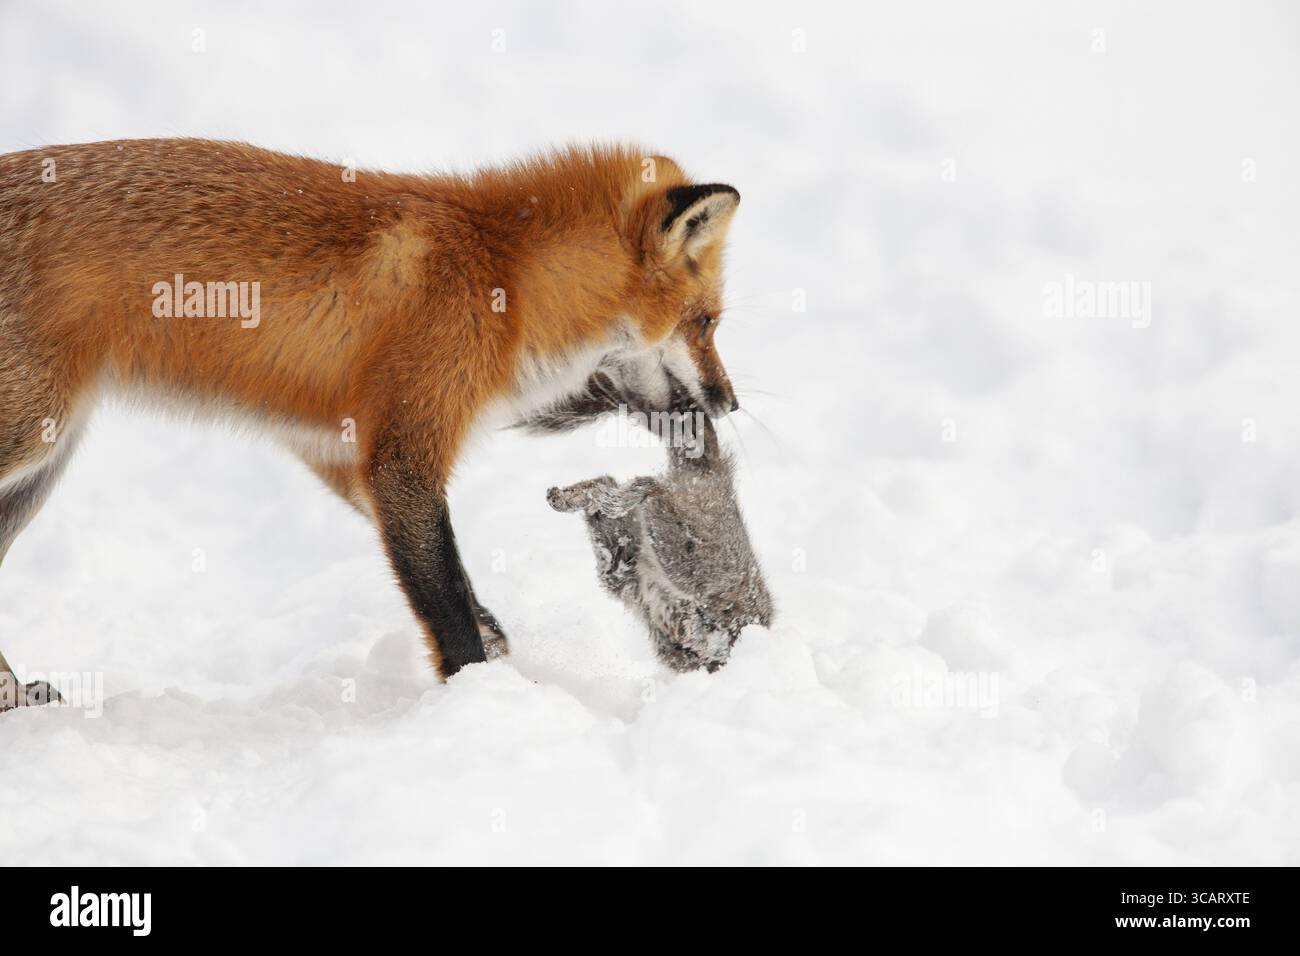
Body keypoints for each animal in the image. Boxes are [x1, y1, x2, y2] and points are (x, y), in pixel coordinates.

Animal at [0, 138, 744, 707]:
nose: (729, 404)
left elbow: (461, 585)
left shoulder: (343, 451)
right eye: (706, 323)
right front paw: (483, 704)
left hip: (41, 466)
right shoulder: (402, 457)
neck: (503, 274)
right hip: (31, 435)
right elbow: (446, 605)